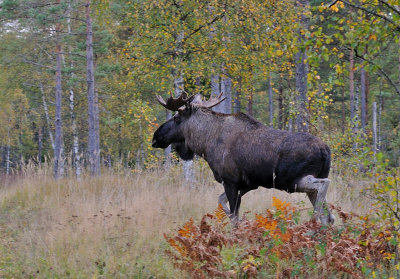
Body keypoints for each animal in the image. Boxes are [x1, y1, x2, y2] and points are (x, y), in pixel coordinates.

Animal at [152, 93, 334, 226]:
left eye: (177, 118)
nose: (156, 137)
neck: (205, 144)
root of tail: (325, 149)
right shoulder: (246, 185)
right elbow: (221, 202)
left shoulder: (230, 181)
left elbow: (234, 217)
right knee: (329, 216)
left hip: (294, 181)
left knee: (324, 186)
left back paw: (314, 218)